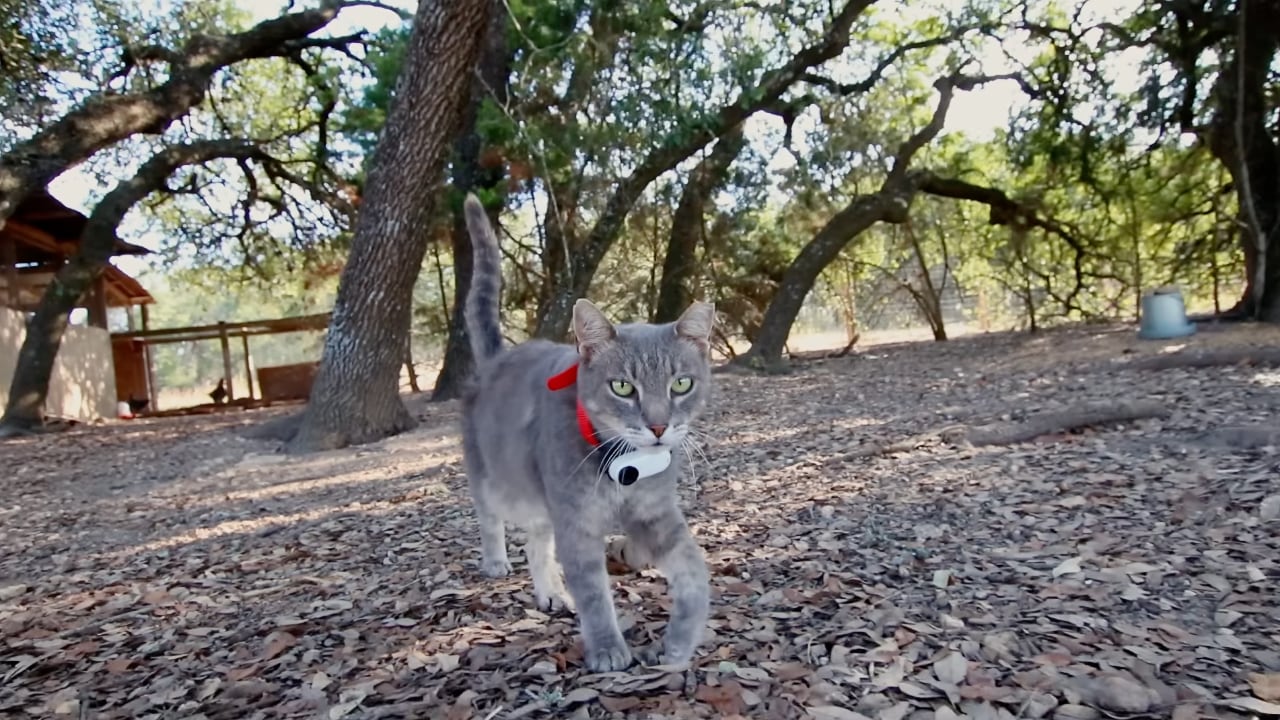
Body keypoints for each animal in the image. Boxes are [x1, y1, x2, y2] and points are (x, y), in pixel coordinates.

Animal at [460, 193, 721, 671]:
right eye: (623, 387)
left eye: (681, 384)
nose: (659, 425)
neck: (623, 466)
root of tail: (496, 359)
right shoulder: (576, 522)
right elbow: (594, 594)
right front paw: (607, 649)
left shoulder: (657, 511)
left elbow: (693, 571)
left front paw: (679, 640)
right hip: (499, 483)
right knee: (492, 519)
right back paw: (496, 561)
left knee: (537, 543)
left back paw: (550, 591)